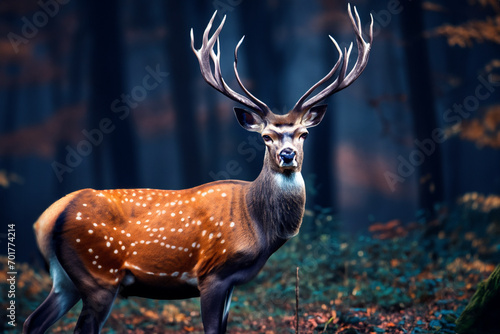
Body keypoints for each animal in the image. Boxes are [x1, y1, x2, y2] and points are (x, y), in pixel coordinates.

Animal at [24, 5, 372, 334]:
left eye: (303, 134)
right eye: (266, 137)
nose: (288, 155)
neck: (257, 226)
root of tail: (48, 217)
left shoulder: (231, 283)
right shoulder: (212, 273)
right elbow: (212, 328)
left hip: (66, 280)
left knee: (33, 321)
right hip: (99, 273)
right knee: (80, 326)